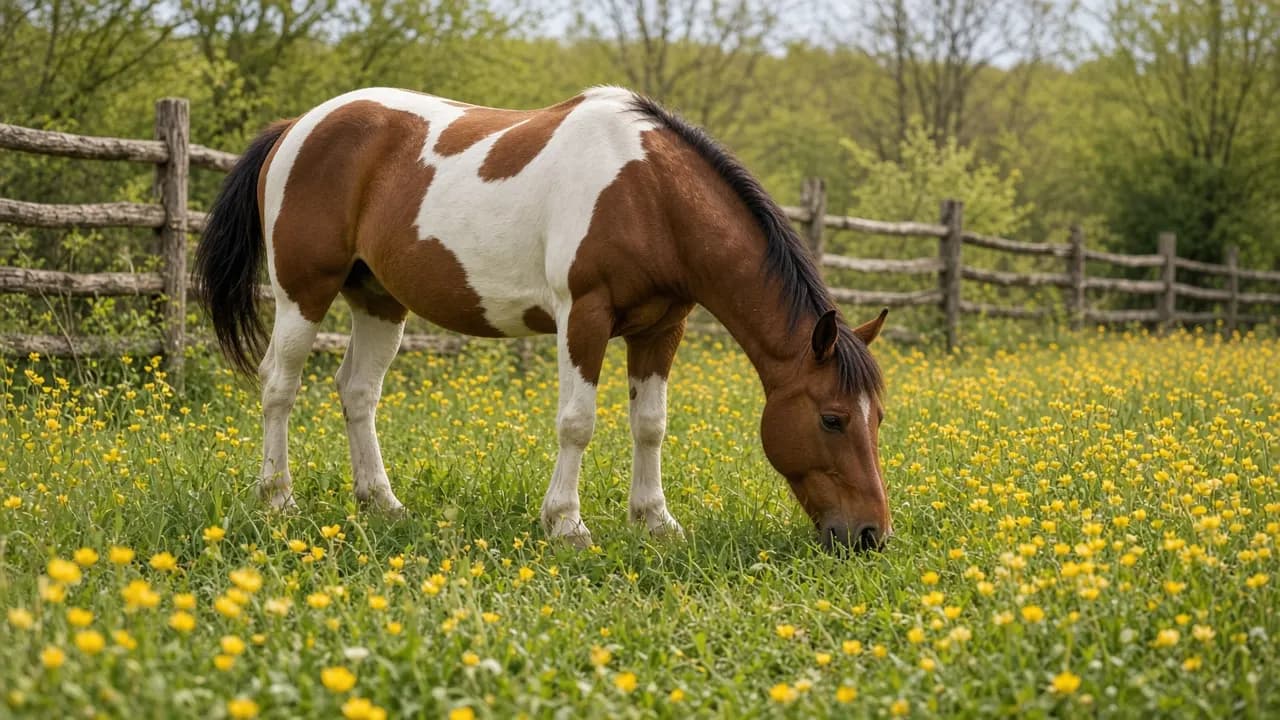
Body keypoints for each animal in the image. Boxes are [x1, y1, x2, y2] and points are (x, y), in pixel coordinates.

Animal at [194, 86, 892, 551]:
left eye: (877, 418)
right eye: (832, 418)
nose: (870, 535)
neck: (649, 193)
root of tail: (298, 125)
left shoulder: (660, 328)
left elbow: (651, 426)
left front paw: (655, 520)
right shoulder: (584, 315)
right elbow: (577, 424)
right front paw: (567, 524)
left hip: (378, 300)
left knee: (358, 392)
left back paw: (382, 503)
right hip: (302, 294)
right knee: (279, 386)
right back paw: (278, 498)